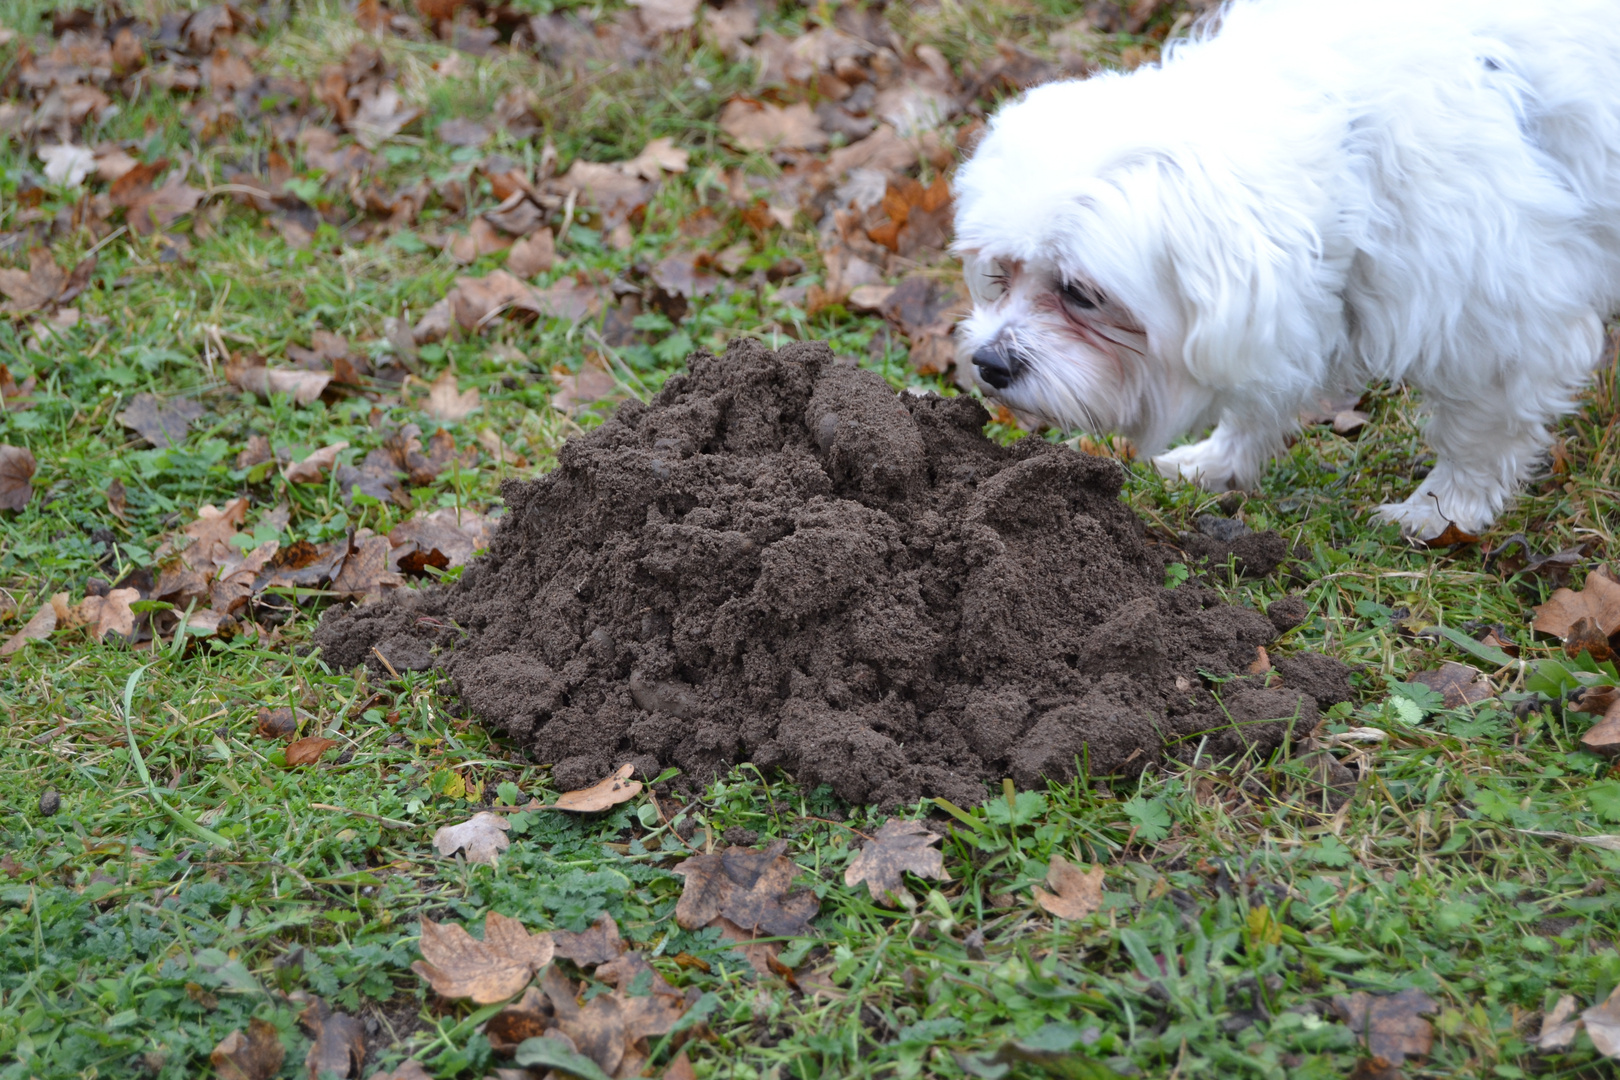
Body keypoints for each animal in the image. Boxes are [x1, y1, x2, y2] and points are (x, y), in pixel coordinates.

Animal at [946, 0, 1620, 540]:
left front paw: (1441, 509)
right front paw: (1216, 462)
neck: (1354, 148)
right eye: (1002, 273)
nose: (989, 364)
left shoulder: (1501, 320)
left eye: (1082, 294)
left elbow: (1479, 430)